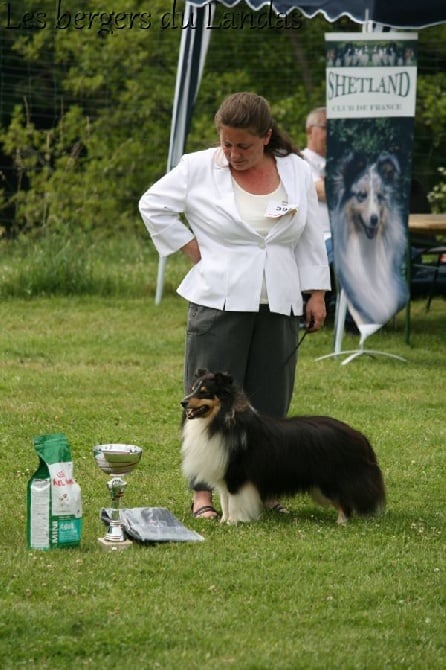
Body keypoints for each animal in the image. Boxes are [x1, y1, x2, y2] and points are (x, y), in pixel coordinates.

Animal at [179, 372, 386, 524]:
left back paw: (342, 522)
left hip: (331, 479)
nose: (183, 402)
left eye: (204, 391)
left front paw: (234, 523)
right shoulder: (224, 474)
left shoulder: (237, 474)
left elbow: (235, 501)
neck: (220, 421)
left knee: (344, 501)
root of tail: (357, 434)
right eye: (193, 389)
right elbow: (225, 501)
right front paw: (224, 521)